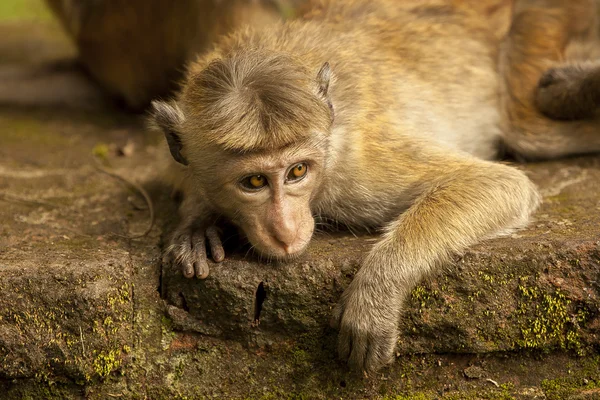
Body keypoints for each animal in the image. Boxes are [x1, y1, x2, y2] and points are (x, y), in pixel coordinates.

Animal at [151, 0, 600, 372]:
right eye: (255, 181)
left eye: (297, 172)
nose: (285, 230)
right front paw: (197, 223)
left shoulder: (351, 171)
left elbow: (496, 182)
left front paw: (375, 296)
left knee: (530, 131)